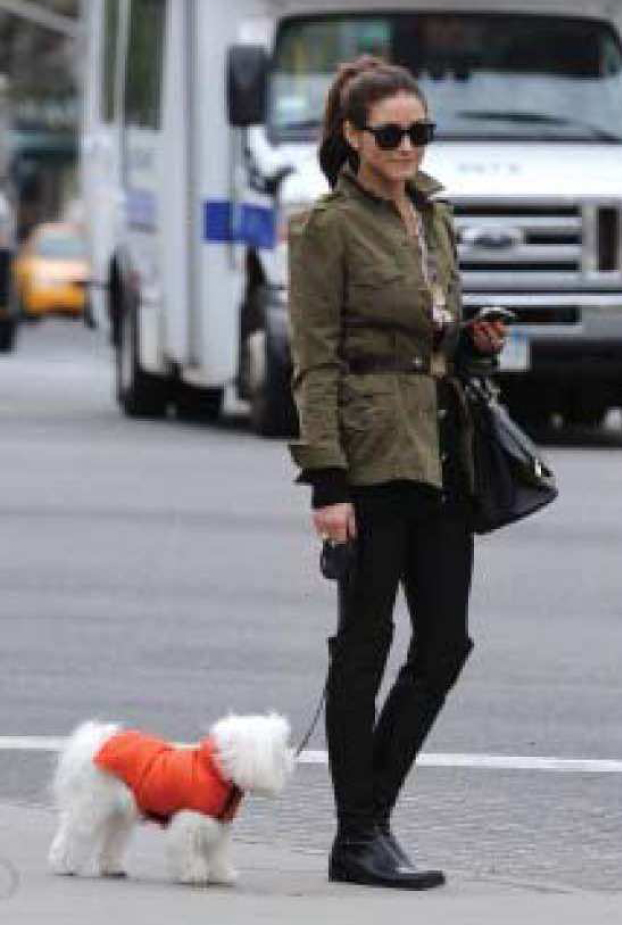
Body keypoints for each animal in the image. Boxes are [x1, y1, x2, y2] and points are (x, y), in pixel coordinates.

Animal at [48, 714, 293, 885]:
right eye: (278, 751)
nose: (291, 760)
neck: (215, 768)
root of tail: (93, 744)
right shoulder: (189, 823)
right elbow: (187, 849)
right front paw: (193, 874)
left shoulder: (218, 825)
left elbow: (217, 853)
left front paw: (221, 874)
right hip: (91, 806)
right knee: (73, 835)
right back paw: (64, 864)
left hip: (116, 815)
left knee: (112, 839)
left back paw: (112, 867)